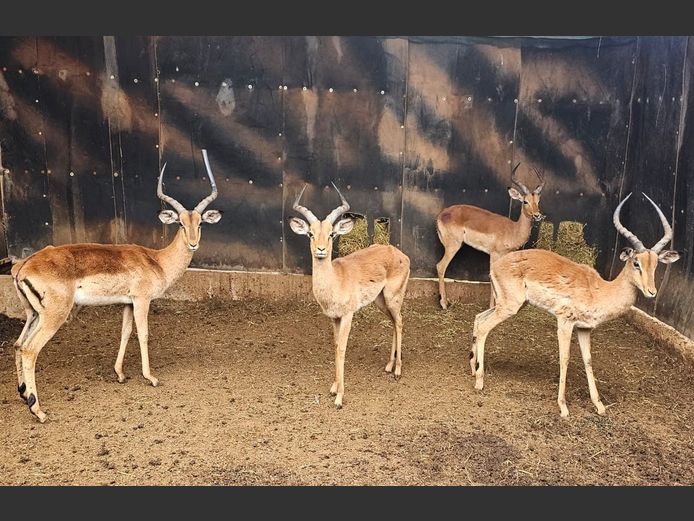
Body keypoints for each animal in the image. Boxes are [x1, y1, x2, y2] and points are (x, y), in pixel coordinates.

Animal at [10, 149, 222, 422]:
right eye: (180, 224)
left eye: (200, 223)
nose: (193, 244)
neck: (156, 260)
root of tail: (23, 266)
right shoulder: (142, 300)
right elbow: (143, 333)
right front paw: (151, 378)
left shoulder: (127, 303)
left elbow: (125, 332)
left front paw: (120, 374)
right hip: (55, 315)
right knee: (29, 349)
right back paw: (38, 410)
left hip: (33, 314)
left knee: (17, 344)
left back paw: (24, 394)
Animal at [289, 183, 411, 408]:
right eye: (310, 233)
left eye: (331, 234)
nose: (320, 250)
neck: (335, 281)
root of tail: (399, 254)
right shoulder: (334, 318)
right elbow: (336, 347)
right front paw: (334, 387)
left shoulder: (347, 316)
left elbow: (342, 350)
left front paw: (339, 397)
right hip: (381, 301)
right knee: (393, 323)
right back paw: (389, 365)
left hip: (393, 297)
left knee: (399, 322)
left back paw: (397, 370)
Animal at [436, 163, 545, 309]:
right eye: (525, 201)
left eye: (538, 201)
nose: (537, 215)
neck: (512, 230)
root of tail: (441, 215)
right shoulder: (494, 254)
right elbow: (492, 276)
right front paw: (492, 307)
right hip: (453, 246)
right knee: (440, 266)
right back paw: (444, 304)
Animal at [470, 192, 679, 417]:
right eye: (636, 263)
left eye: (656, 264)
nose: (652, 292)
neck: (599, 291)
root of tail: (495, 266)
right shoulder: (564, 322)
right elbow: (565, 358)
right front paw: (563, 407)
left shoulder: (584, 329)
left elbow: (588, 360)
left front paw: (599, 405)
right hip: (509, 306)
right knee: (483, 327)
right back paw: (479, 381)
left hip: (513, 305)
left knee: (478, 318)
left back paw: (473, 367)